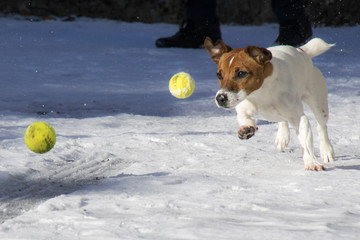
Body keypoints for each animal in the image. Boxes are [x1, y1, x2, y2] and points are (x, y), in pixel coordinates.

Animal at [205, 37, 334, 171]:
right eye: (219, 74)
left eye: (241, 73)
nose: (220, 98)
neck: (261, 93)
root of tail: (302, 51)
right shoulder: (243, 106)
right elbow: (243, 117)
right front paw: (246, 129)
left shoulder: (299, 118)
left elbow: (306, 143)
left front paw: (312, 163)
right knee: (282, 120)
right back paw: (282, 136)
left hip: (318, 103)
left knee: (321, 126)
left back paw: (326, 150)